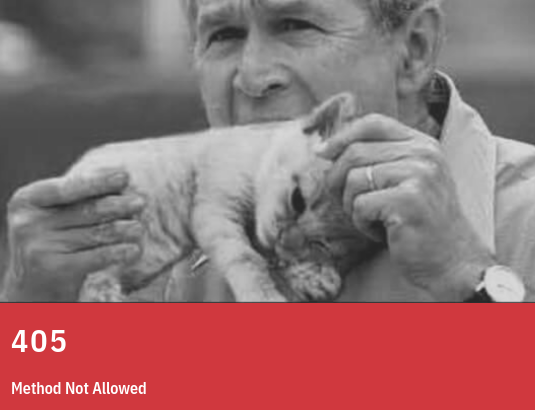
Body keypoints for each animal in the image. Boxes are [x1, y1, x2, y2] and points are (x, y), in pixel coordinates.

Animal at [71, 93, 378, 302]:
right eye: (297, 201)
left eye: (321, 243)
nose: (283, 238)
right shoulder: (215, 210)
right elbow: (246, 259)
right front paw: (262, 294)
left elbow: (281, 258)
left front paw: (315, 275)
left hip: (150, 255)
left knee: (96, 277)